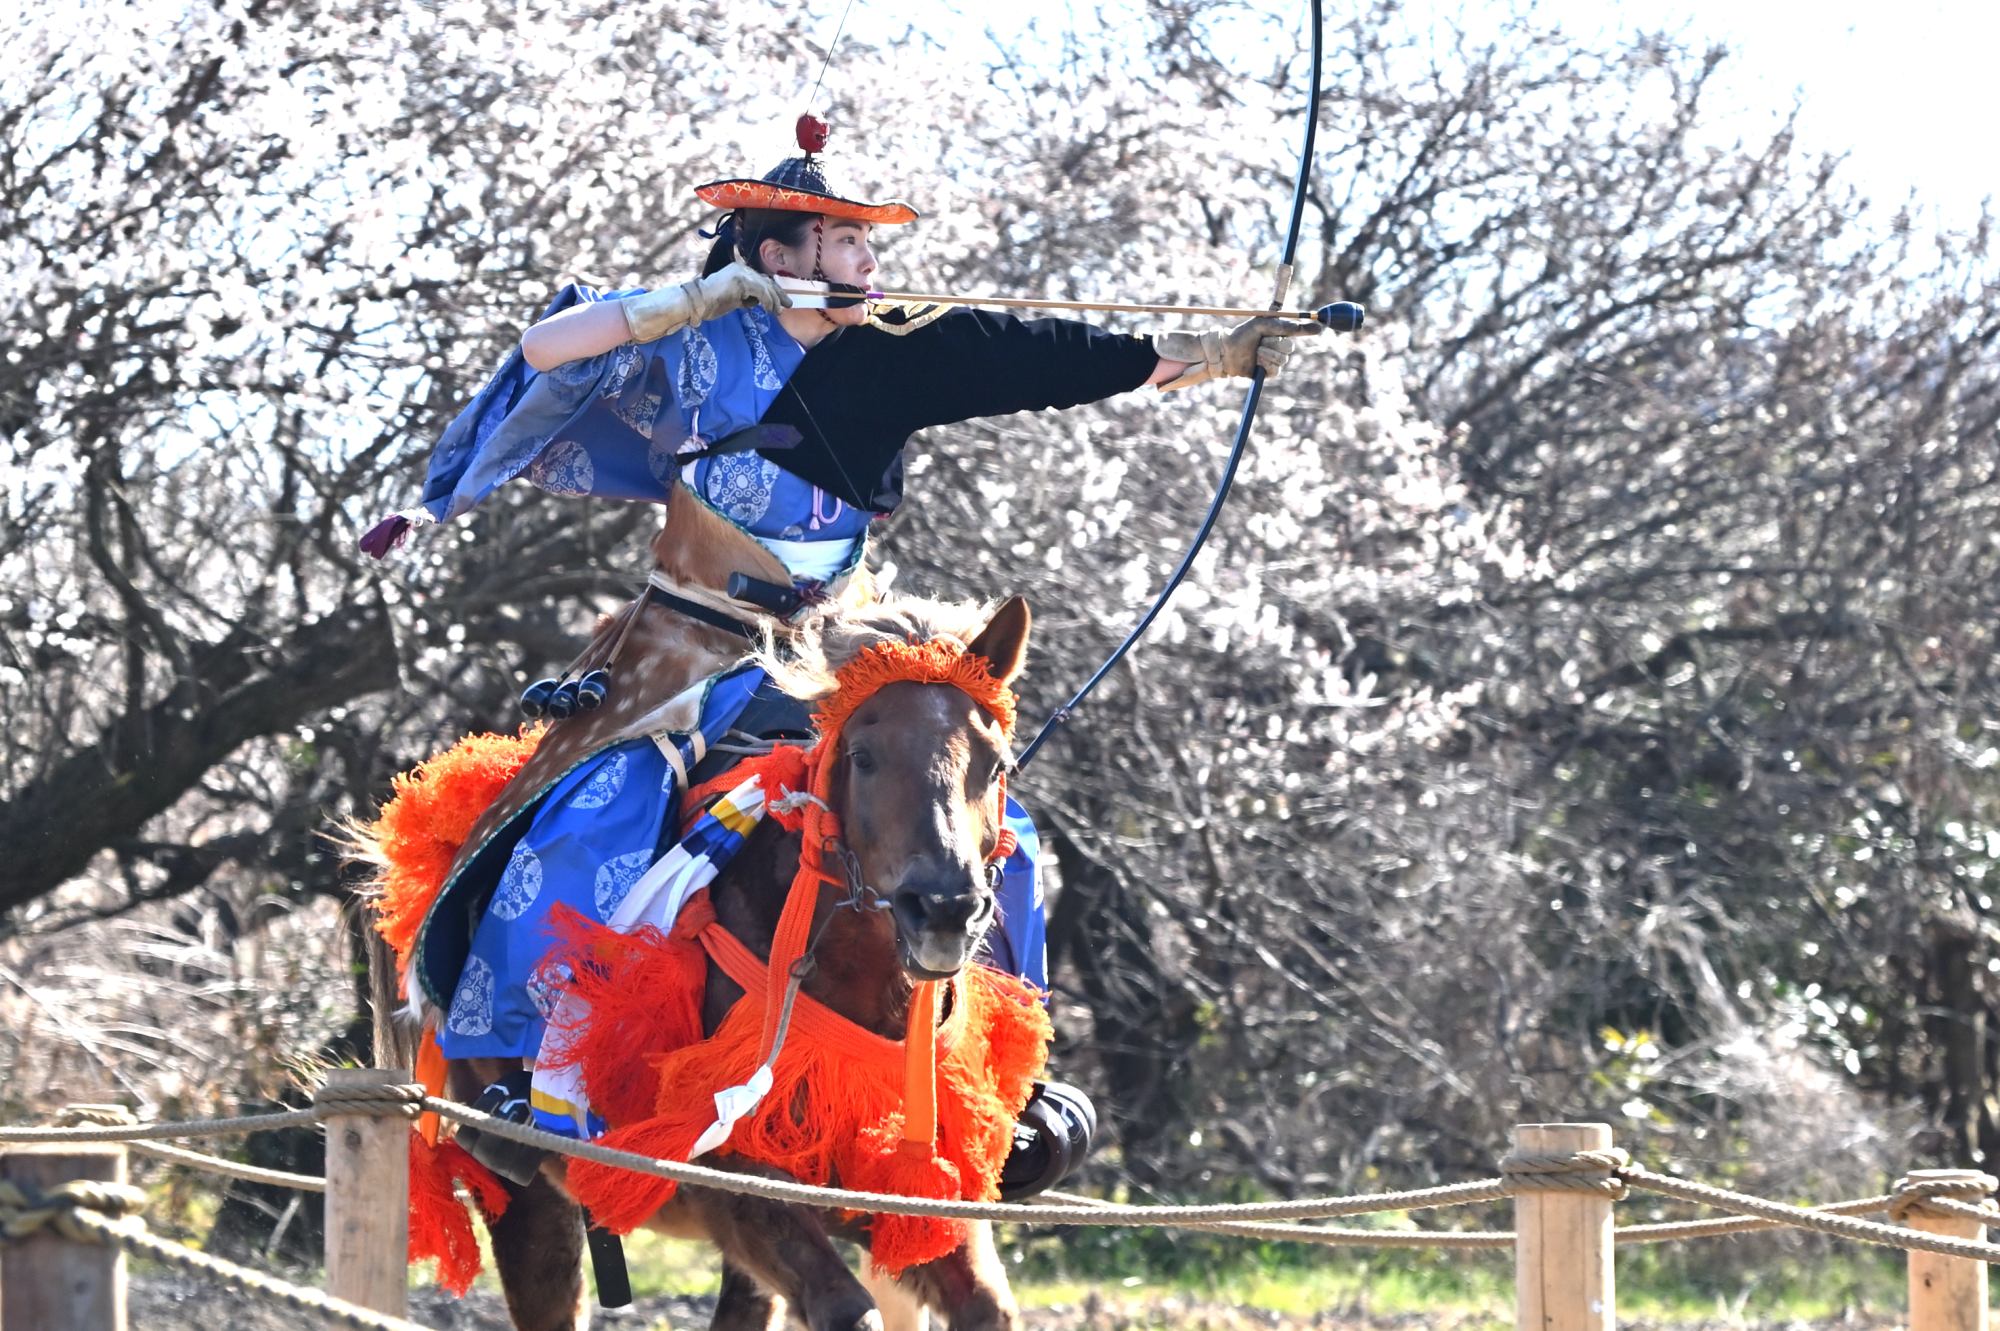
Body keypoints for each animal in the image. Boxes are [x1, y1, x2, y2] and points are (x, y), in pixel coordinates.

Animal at [371, 583, 1043, 1331]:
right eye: (864, 755)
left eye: (995, 763)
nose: (944, 908)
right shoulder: (727, 1181)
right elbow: (845, 1306)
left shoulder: (902, 1195)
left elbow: (986, 1306)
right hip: (527, 1195)